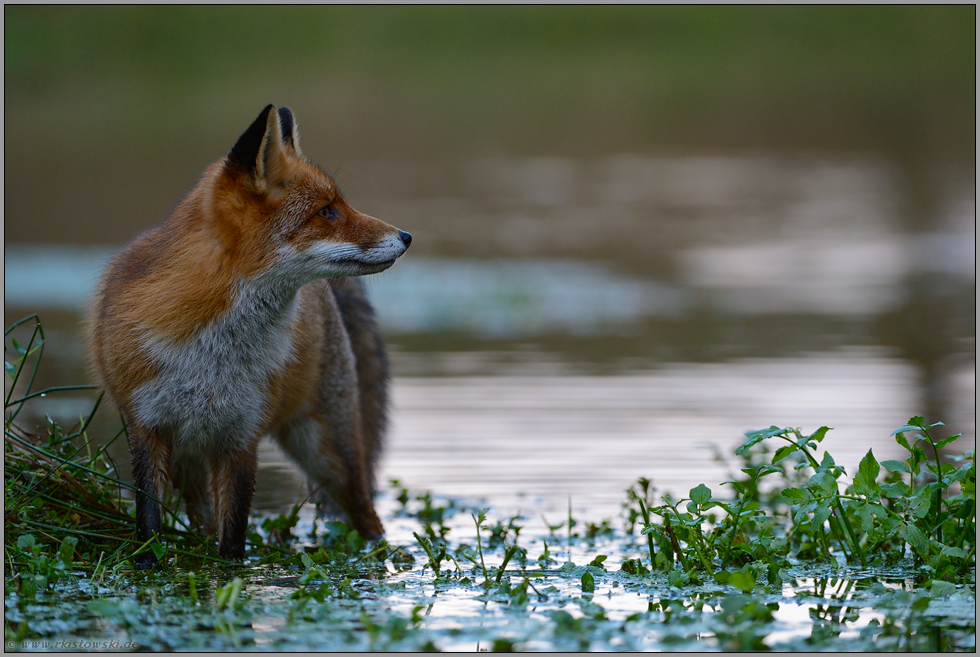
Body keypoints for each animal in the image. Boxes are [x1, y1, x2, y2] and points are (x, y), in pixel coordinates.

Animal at [90, 104, 412, 564]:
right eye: (327, 211)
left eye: (339, 205)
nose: (406, 236)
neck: (210, 351)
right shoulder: (147, 428)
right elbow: (148, 522)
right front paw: (149, 564)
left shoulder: (241, 436)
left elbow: (233, 542)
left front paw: (229, 572)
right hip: (189, 458)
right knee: (201, 517)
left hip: (331, 456)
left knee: (368, 517)